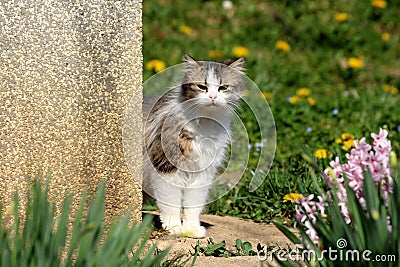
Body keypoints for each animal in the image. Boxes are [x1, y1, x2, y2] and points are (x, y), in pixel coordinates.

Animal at [142, 54, 245, 239]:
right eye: (202, 87)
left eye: (223, 88)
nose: (212, 97)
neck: (204, 124)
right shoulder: (166, 168)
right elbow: (171, 204)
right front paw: (174, 227)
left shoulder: (203, 173)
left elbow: (193, 206)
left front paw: (191, 229)